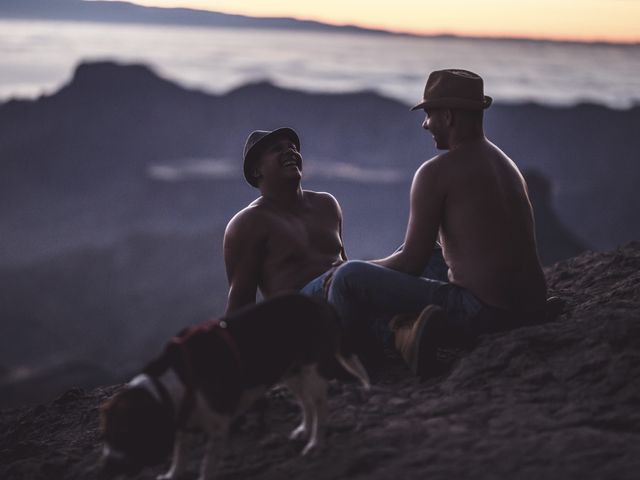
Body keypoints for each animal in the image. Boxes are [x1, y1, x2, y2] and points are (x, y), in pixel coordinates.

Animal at [100, 292, 370, 480]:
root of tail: (316, 301)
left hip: (311, 371)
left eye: (125, 434)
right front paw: (171, 474)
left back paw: (315, 443)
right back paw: (304, 430)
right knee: (307, 404)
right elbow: (179, 454)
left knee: (320, 407)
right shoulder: (183, 423)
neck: (175, 381)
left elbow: (207, 464)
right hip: (291, 373)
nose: (106, 468)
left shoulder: (218, 426)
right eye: (106, 435)